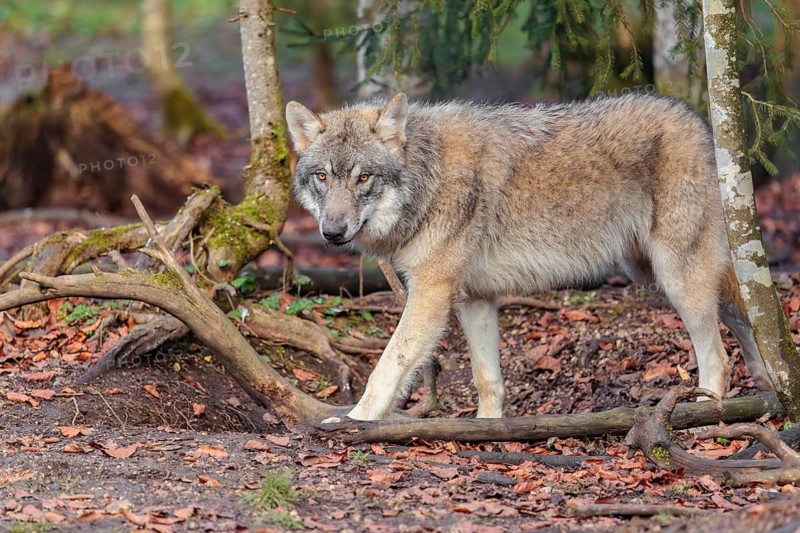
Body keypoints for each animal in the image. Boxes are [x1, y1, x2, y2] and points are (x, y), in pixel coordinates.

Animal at [285, 92, 773, 421]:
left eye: (363, 177)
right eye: (323, 177)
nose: (332, 232)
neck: (429, 177)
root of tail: (700, 124)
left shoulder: (430, 292)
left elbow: (390, 363)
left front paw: (357, 422)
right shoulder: (474, 300)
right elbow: (487, 380)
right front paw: (485, 430)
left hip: (676, 279)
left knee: (718, 358)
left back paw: (706, 416)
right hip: (656, 272)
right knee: (747, 315)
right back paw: (769, 389)